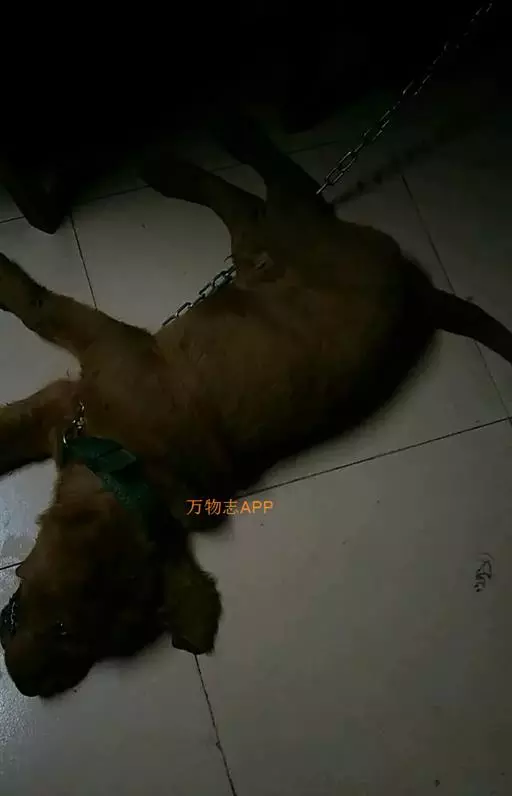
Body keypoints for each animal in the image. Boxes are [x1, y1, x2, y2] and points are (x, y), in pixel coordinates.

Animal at [1, 111, 511, 698]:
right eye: (64, 629)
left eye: (79, 641)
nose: (25, 688)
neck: (123, 464)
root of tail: (420, 293)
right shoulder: (63, 401)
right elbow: (29, 318)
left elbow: (36, 304)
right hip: (268, 246)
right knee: (268, 193)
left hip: (280, 236)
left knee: (268, 191)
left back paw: (192, 154)